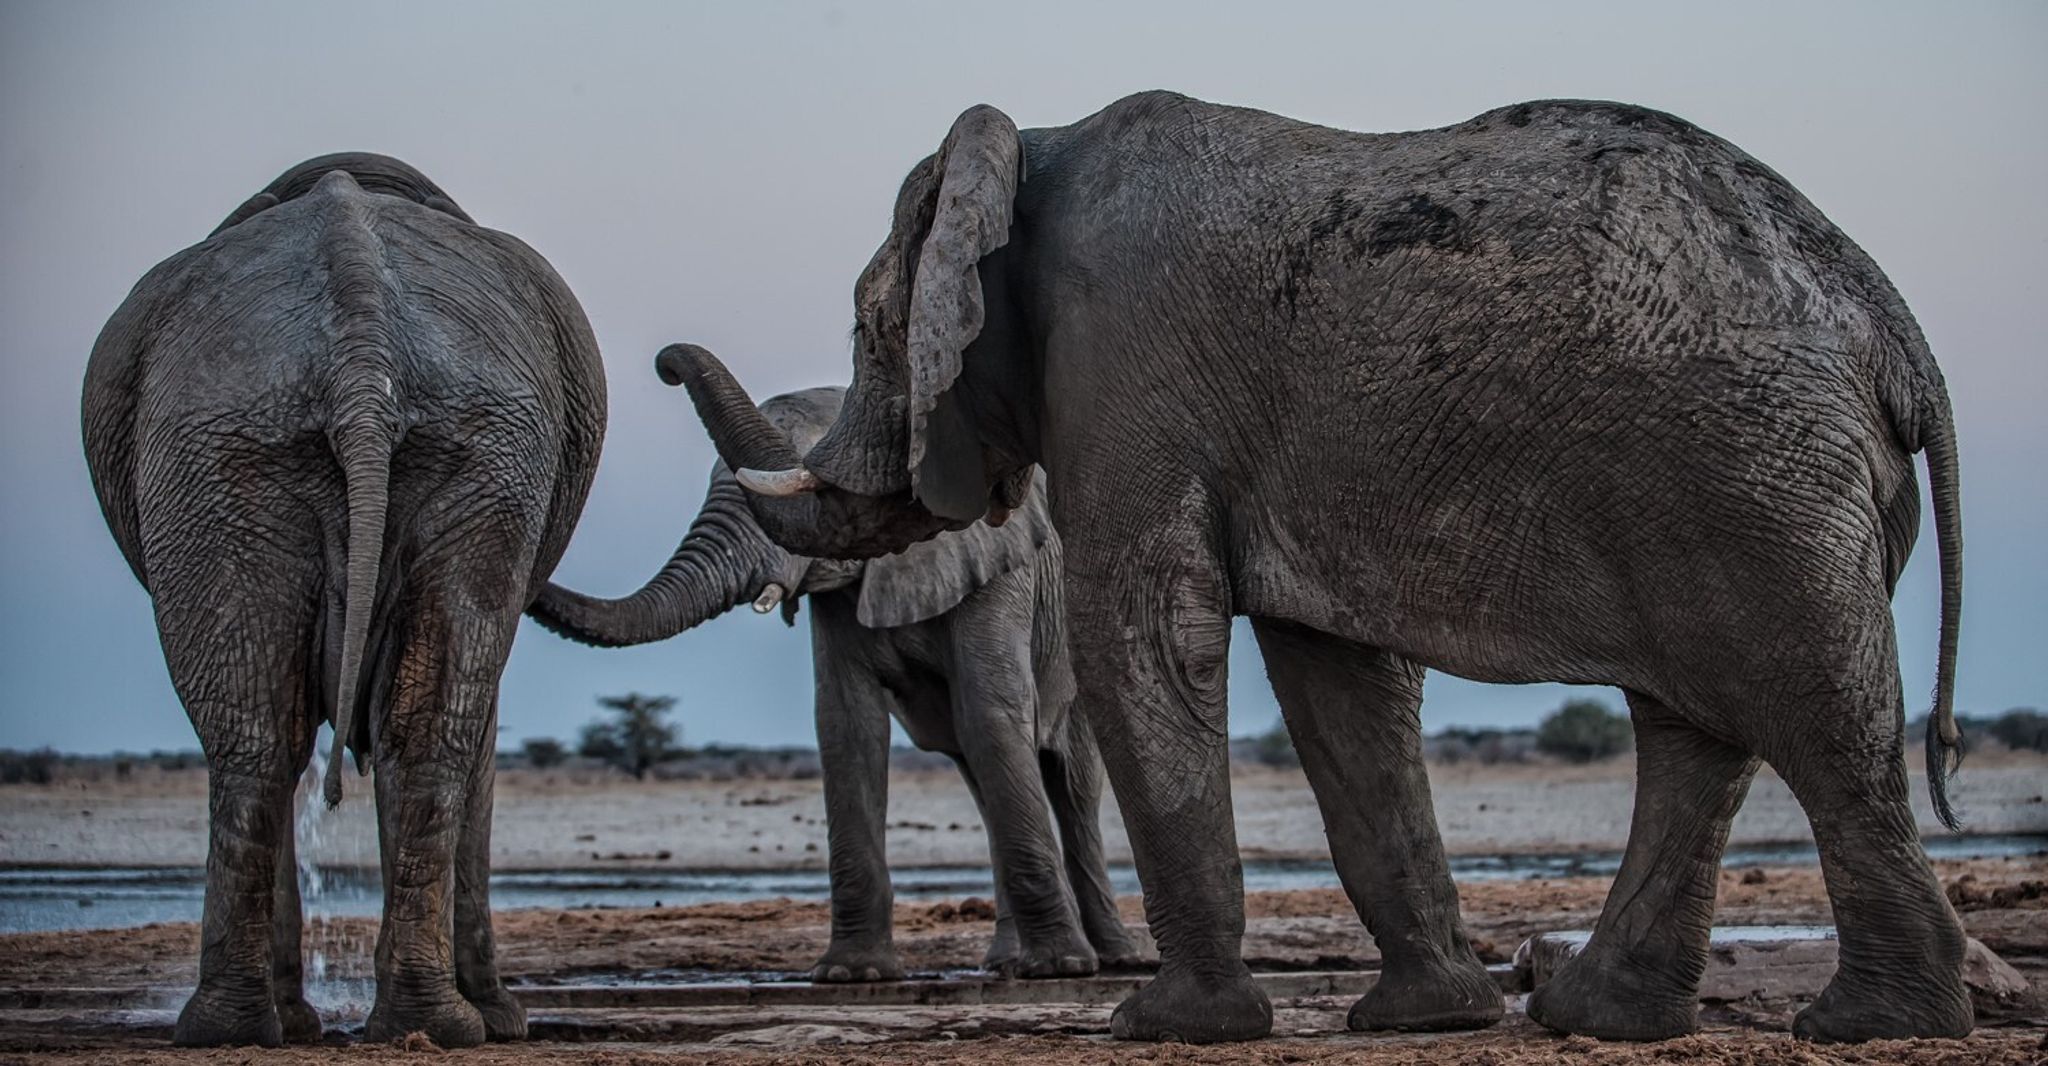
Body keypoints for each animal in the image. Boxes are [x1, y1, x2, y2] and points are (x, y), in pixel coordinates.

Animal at [81, 153, 606, 1043]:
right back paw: (333, 1025)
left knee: (284, 737)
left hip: (276, 455)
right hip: (267, 452)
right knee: (314, 738)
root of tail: (362, 363)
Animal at [524, 368, 1138, 982]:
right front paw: (853, 974)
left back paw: (1113, 958)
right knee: (983, 778)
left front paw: (1059, 968)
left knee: (1072, 783)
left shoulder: (999, 571)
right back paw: (1006, 963)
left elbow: (991, 712)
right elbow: (848, 725)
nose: (667, 368)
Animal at [667, 95, 1966, 1043]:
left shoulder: (1122, 365)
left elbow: (1144, 633)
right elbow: (1337, 682)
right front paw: (1424, 1018)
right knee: (1698, 729)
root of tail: (1893, 327)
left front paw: (1167, 1026)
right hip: (1742, 478)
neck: (1030, 143)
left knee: (1811, 713)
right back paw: (1595, 1017)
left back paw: (1868, 1025)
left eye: (867, 326)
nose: (662, 357)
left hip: (1757, 474)